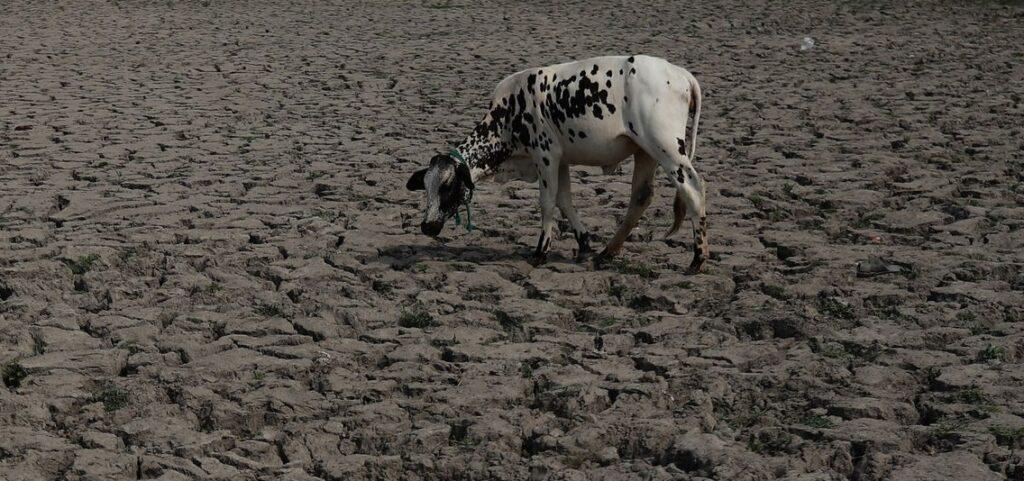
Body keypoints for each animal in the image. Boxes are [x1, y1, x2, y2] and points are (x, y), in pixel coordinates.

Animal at [403, 54, 708, 272]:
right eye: (426, 188)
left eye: (447, 186)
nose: (426, 226)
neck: (508, 114)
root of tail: (681, 73)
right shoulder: (561, 161)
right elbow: (564, 200)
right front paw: (584, 243)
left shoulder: (545, 156)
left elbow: (547, 203)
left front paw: (540, 252)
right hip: (645, 151)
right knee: (641, 197)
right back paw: (606, 254)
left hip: (667, 149)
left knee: (693, 190)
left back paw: (698, 258)